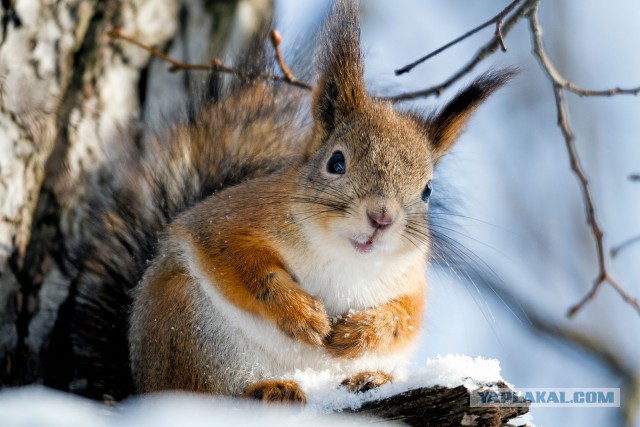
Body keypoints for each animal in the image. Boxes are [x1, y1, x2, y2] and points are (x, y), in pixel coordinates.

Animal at [57, 0, 512, 404]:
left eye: (427, 190)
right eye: (336, 161)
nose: (381, 218)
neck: (344, 256)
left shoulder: (411, 278)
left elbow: (405, 315)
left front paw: (359, 332)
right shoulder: (228, 221)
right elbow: (240, 264)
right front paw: (303, 314)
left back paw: (369, 379)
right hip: (185, 327)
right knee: (193, 390)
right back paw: (268, 388)